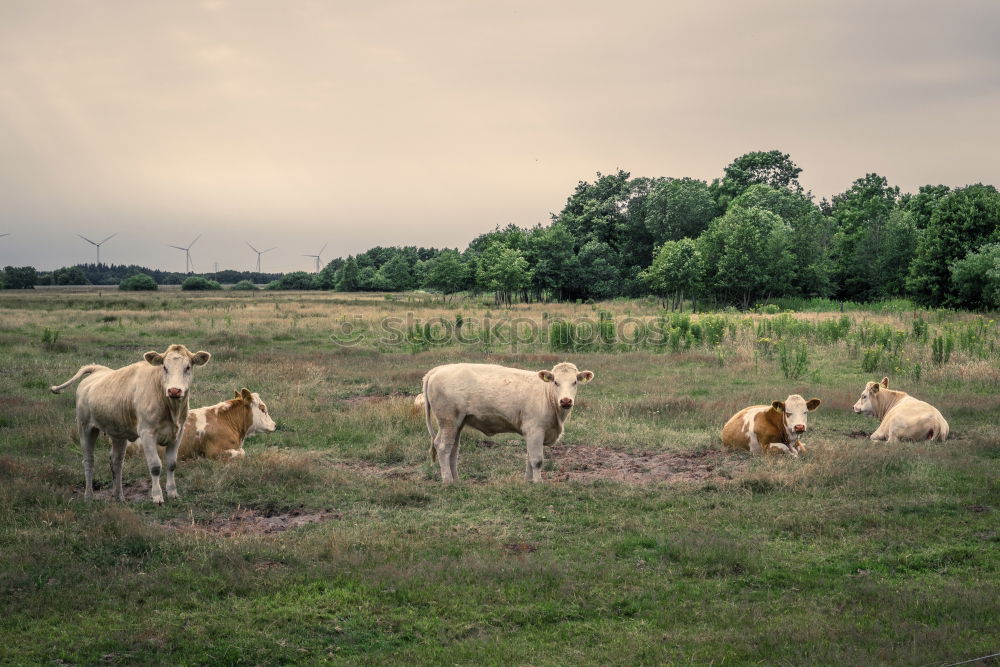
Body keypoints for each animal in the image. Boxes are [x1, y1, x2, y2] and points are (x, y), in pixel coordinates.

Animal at [49, 348, 210, 504]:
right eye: (164, 367)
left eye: (188, 367)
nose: (174, 390)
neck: (171, 409)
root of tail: (97, 370)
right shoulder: (147, 433)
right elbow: (155, 466)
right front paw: (157, 496)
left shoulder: (177, 433)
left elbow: (171, 463)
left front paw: (172, 493)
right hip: (85, 428)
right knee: (89, 460)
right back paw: (89, 496)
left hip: (117, 433)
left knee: (116, 462)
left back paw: (118, 496)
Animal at [420, 362, 592, 482]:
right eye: (555, 382)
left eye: (575, 382)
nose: (566, 400)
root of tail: (438, 369)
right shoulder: (535, 429)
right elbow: (536, 460)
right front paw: (538, 482)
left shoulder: (532, 433)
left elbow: (529, 458)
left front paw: (528, 481)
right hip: (448, 420)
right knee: (443, 447)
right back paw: (448, 481)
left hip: (457, 423)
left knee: (453, 449)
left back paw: (456, 479)